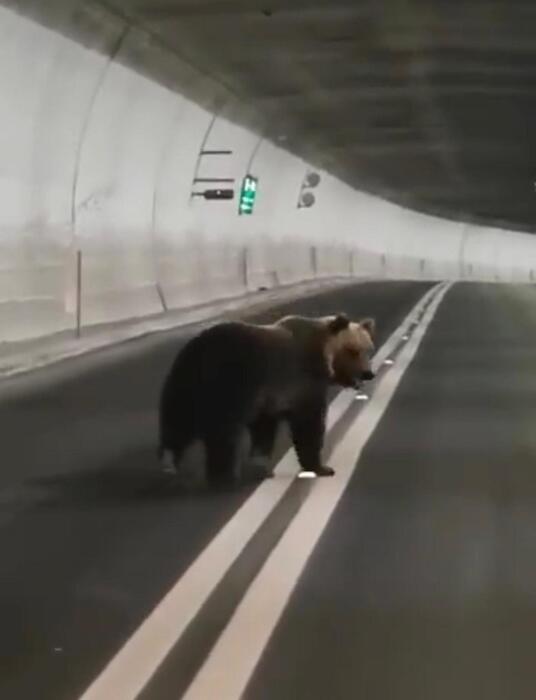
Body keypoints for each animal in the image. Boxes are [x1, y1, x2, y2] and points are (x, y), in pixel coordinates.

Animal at [159, 314, 374, 486]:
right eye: (353, 350)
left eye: (367, 349)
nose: (368, 373)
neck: (323, 355)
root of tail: (200, 352)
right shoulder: (300, 384)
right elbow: (308, 426)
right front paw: (322, 467)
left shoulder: (269, 399)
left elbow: (264, 429)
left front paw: (260, 465)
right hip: (229, 380)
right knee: (223, 431)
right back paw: (225, 477)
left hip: (183, 381)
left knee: (177, 422)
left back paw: (169, 464)